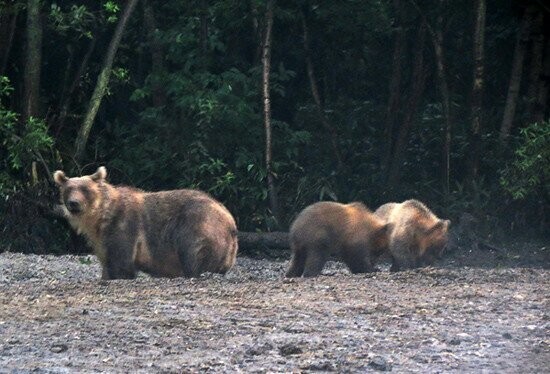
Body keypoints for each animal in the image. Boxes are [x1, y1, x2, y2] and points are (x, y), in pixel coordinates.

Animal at [53, 166, 239, 278]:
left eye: (85, 189)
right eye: (68, 189)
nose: (73, 203)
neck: (100, 217)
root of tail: (231, 221)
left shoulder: (124, 225)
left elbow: (122, 263)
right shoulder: (100, 240)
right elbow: (107, 262)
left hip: (198, 224)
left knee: (192, 251)